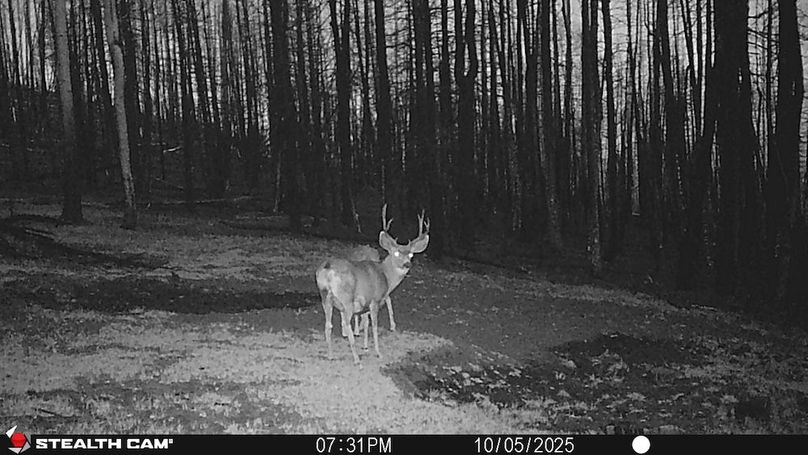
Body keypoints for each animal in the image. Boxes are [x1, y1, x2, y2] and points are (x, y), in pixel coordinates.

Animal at [315, 204, 430, 366]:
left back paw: (331, 355)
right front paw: (377, 352)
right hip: (346, 299)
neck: (385, 276)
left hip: (325, 296)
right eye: (395, 253)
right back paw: (357, 360)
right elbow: (374, 326)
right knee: (345, 324)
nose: (407, 264)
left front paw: (365, 347)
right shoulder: (375, 300)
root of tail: (327, 268)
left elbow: (366, 323)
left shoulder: (365, 304)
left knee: (328, 324)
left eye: (411, 254)